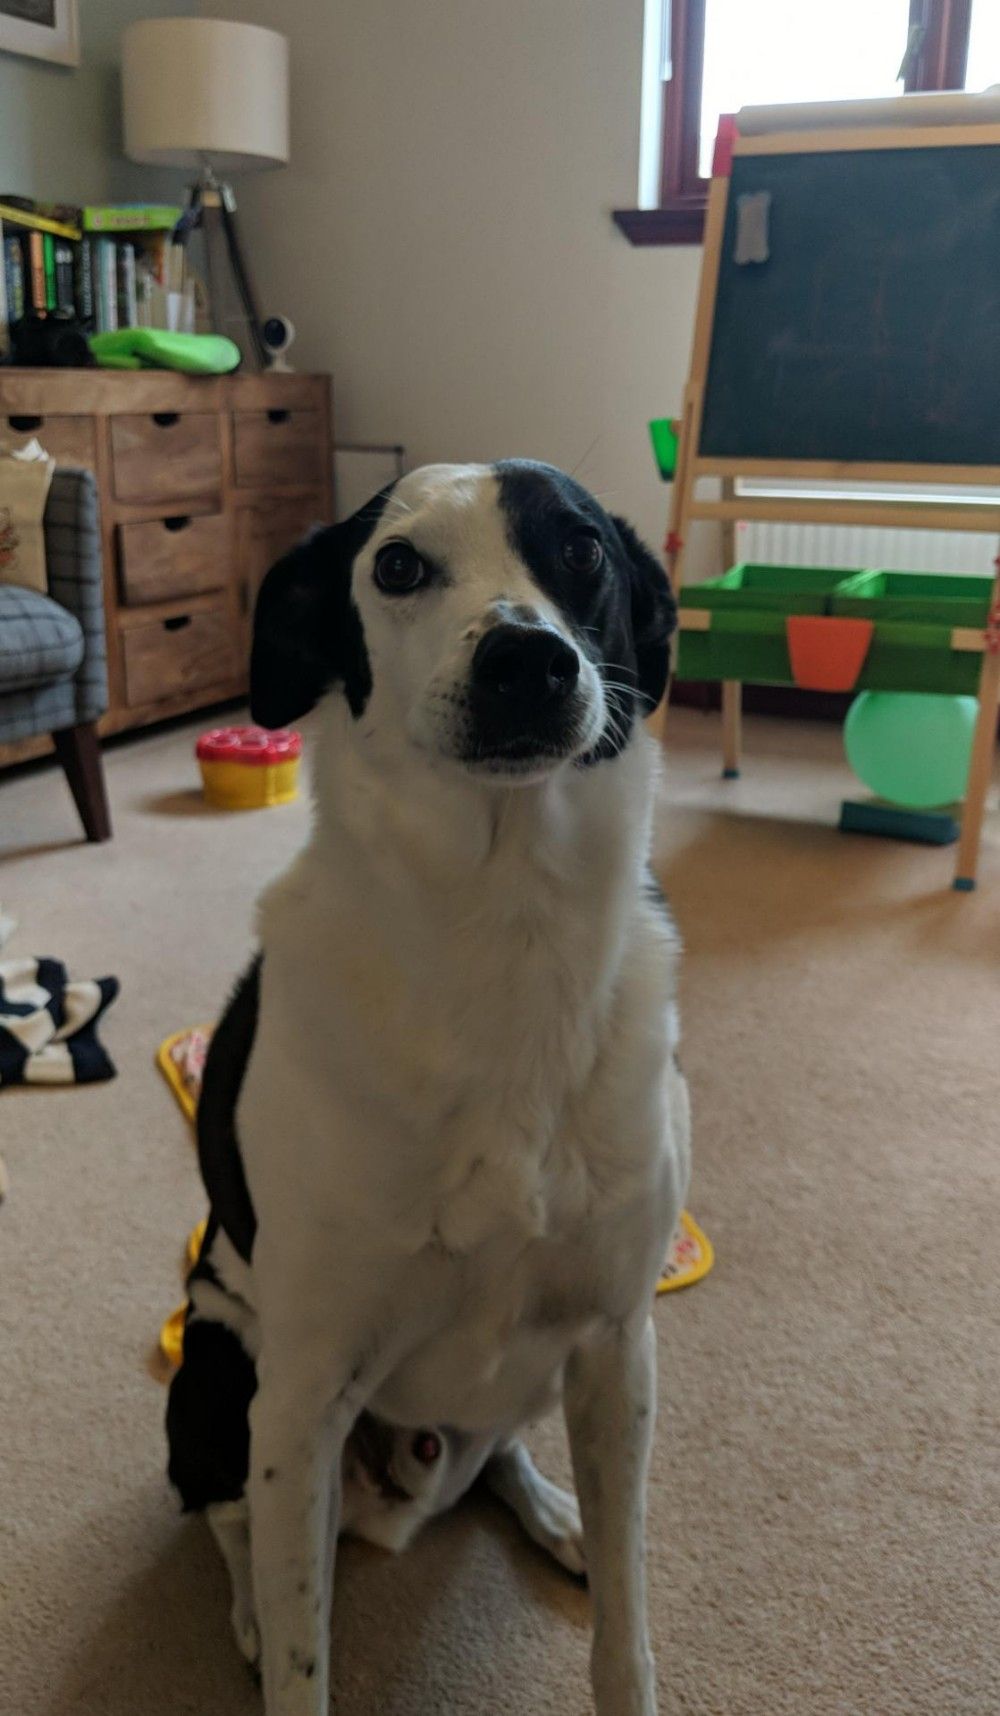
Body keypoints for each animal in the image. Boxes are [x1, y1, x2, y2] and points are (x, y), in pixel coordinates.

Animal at [165, 459, 690, 1716]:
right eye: (397, 566)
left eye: (581, 549)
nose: (526, 660)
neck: (505, 930)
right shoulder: (300, 1396)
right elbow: (302, 1658)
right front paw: (276, 1631)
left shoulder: (618, 1345)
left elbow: (626, 1630)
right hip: (220, 1377)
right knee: (230, 1520)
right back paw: (246, 1607)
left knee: (498, 1452)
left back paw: (555, 1513)